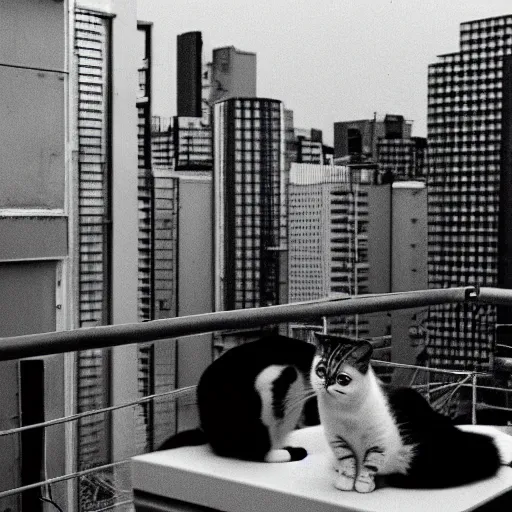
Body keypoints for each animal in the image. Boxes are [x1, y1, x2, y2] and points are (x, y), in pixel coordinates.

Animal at [312, 332, 508, 492]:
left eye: (343, 379)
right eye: (320, 371)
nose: (326, 384)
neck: (343, 411)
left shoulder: (378, 439)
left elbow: (370, 464)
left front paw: (363, 484)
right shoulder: (337, 438)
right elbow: (347, 461)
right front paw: (345, 481)